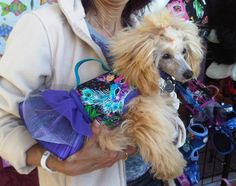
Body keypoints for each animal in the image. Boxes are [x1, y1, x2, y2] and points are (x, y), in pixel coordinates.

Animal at [97, 9, 203, 179]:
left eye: (184, 51)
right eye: (166, 56)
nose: (189, 73)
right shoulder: (144, 116)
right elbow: (158, 144)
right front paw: (172, 168)